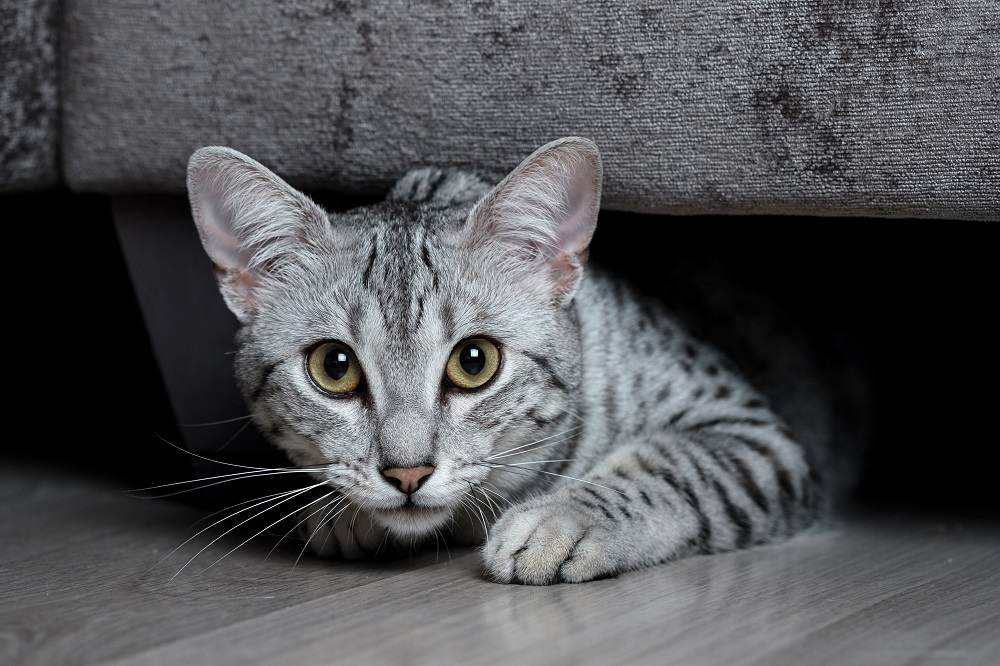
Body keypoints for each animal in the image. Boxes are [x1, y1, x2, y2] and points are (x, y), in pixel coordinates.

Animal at [182, 139, 852, 580]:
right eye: (335, 368)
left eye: (474, 361)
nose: (406, 474)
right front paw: (343, 511)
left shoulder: (752, 434)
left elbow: (672, 466)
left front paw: (562, 518)